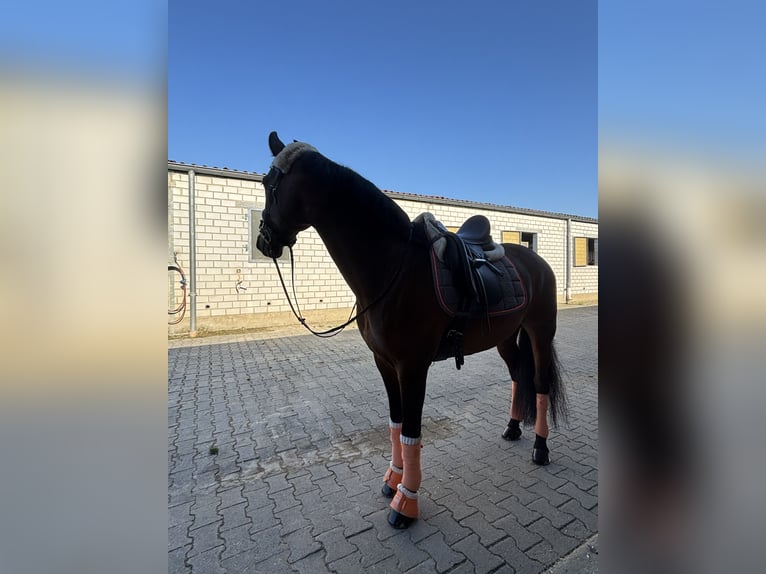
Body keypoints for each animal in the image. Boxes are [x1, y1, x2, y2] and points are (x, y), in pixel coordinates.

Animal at [256, 132, 567, 529]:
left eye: (270, 185)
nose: (264, 241)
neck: (393, 270)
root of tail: (536, 260)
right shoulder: (385, 364)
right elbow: (395, 422)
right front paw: (392, 480)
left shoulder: (413, 367)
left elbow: (411, 431)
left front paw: (406, 503)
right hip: (504, 339)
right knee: (516, 375)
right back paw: (513, 428)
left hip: (541, 331)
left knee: (539, 384)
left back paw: (540, 448)